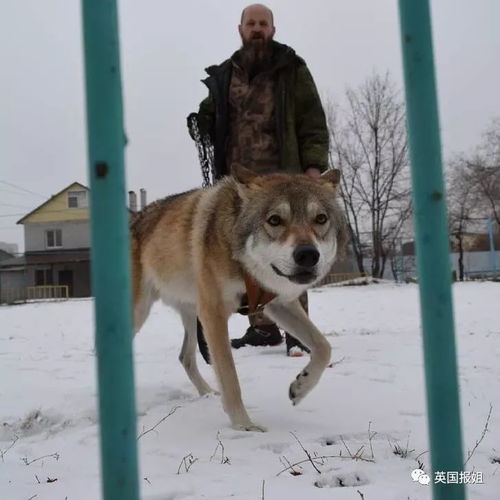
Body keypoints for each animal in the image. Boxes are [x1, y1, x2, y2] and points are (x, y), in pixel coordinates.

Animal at [130, 167, 348, 430]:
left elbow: (324, 346)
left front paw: (300, 386)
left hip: (192, 314)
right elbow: (230, 376)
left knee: (185, 357)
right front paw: (244, 426)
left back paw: (208, 393)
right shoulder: (214, 314)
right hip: (140, 314)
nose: (307, 255)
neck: (243, 264)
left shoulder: (277, 304)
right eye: (274, 220)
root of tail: (133, 218)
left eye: (320, 219)